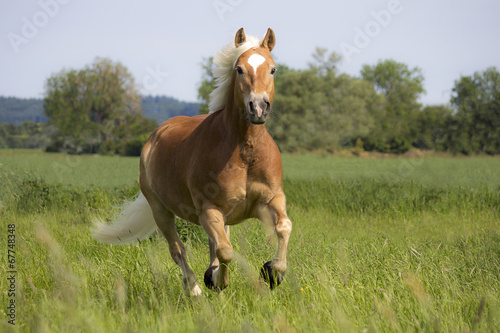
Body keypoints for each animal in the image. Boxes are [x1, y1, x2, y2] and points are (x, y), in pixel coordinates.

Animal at [92, 27, 292, 294]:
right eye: (239, 69)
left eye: (273, 69)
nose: (258, 107)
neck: (244, 152)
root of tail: (157, 134)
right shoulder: (209, 210)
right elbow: (225, 251)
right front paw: (217, 281)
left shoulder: (270, 200)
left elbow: (283, 227)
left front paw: (273, 272)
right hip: (161, 211)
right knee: (178, 250)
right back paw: (195, 290)